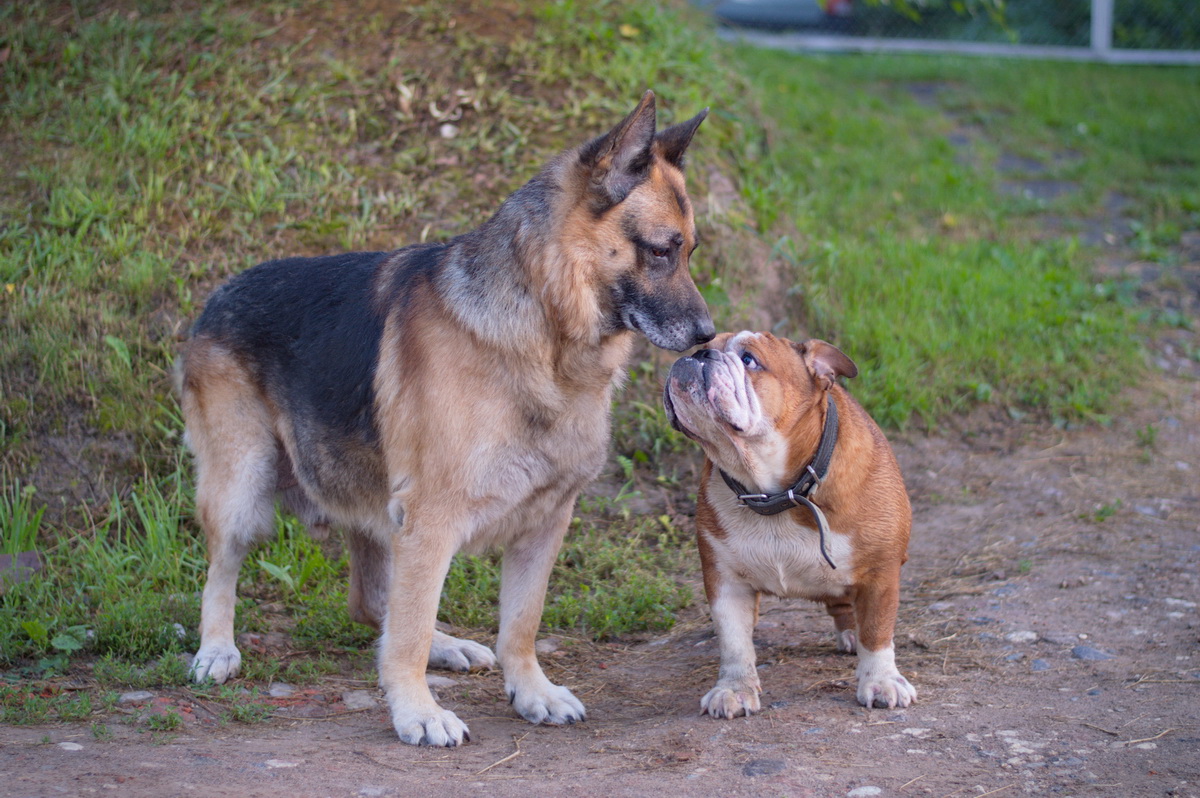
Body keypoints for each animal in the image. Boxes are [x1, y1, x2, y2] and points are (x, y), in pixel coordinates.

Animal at [177, 93, 710, 748]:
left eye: (689, 251)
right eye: (661, 250)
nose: (708, 336)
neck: (545, 328)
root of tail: (218, 293)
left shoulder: (545, 523)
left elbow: (520, 624)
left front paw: (530, 691)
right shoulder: (432, 519)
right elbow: (406, 634)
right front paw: (417, 711)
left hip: (375, 508)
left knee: (373, 603)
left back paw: (447, 645)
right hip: (244, 491)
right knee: (227, 574)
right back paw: (216, 650)